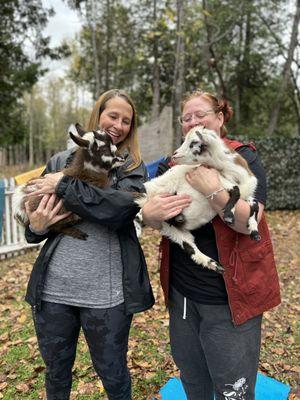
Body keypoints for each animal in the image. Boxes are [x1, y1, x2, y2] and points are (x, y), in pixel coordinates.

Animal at [136, 126, 260, 274]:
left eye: (193, 143)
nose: (174, 154)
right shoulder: (221, 179)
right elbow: (236, 190)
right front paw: (229, 216)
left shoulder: (246, 194)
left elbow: (255, 205)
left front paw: (254, 232)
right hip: (159, 194)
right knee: (141, 211)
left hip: (172, 229)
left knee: (190, 247)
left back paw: (214, 265)